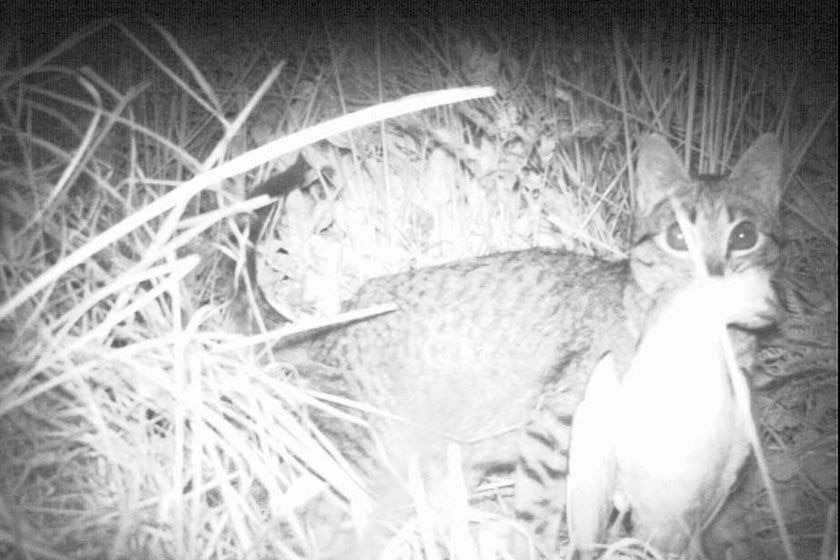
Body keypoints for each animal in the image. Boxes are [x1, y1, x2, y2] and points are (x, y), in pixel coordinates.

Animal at [240, 133, 784, 556]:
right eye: (678, 237)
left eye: (744, 236)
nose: (713, 271)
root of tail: (338, 318)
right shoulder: (559, 420)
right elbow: (542, 510)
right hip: (370, 457)